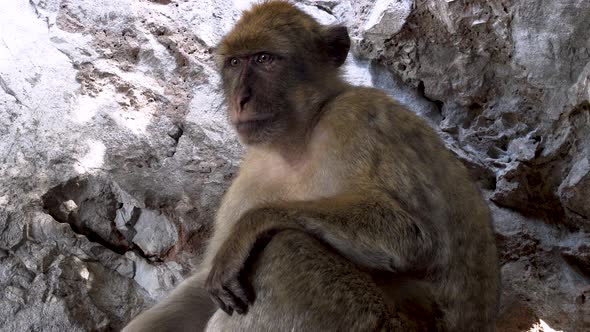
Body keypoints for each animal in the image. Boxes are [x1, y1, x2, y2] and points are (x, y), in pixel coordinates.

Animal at [123, 1, 500, 330]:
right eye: (234, 63)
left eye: (264, 59)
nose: (240, 99)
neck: (299, 139)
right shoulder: (252, 175)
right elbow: (207, 289)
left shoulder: (358, 118)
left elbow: (414, 238)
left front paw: (249, 227)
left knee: (287, 250)